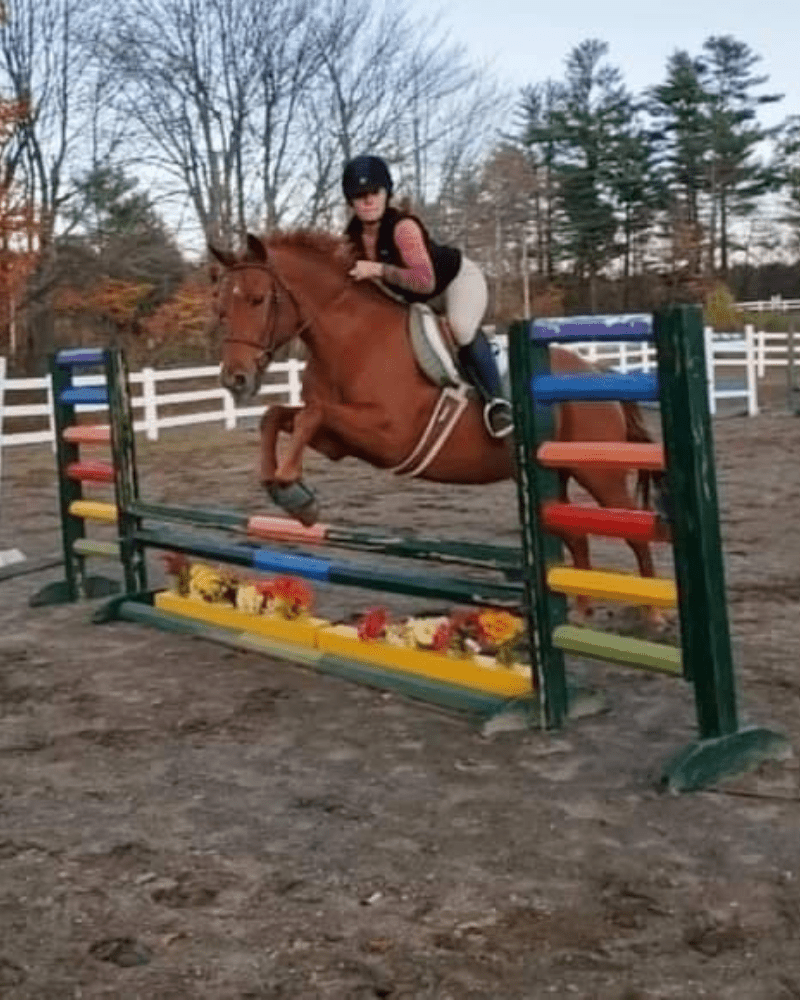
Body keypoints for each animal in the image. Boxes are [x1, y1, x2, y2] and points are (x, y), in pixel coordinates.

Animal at [209, 229, 664, 584]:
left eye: (258, 300)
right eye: (221, 307)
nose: (235, 379)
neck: (353, 339)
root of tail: (597, 372)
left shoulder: (389, 435)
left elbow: (310, 415)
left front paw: (294, 494)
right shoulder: (339, 441)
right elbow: (279, 416)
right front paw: (279, 485)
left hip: (597, 472)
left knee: (634, 534)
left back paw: (652, 616)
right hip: (551, 478)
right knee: (577, 539)